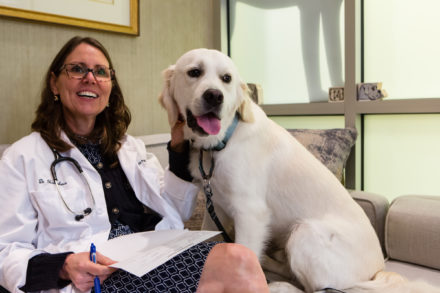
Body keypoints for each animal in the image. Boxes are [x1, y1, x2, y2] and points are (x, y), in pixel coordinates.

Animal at [159, 48, 440, 292]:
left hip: (305, 232)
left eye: (226, 78)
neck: (220, 144)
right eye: (194, 72)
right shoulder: (214, 208)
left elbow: (243, 254)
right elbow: (211, 240)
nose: (215, 96)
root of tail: (379, 268)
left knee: (320, 288)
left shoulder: (250, 213)